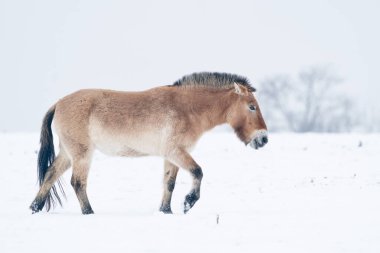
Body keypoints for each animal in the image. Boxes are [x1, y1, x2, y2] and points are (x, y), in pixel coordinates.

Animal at [29, 72, 268, 214]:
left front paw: (166, 211)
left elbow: (169, 183)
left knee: (50, 175)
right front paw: (189, 202)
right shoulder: (177, 152)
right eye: (252, 106)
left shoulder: (171, 156)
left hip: (68, 154)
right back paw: (89, 213)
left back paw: (35, 208)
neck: (187, 108)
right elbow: (198, 172)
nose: (263, 138)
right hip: (82, 154)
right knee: (78, 183)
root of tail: (59, 103)